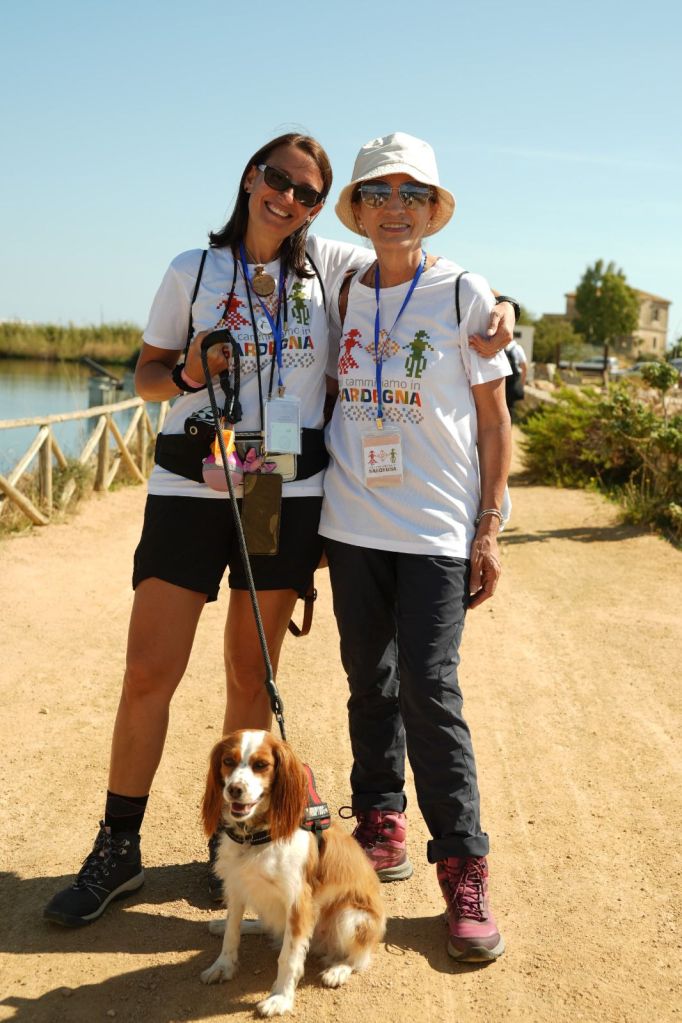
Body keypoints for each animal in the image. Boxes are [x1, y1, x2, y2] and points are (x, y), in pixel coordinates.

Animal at [200, 729, 386, 1017]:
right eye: (228, 761)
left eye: (261, 765)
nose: (234, 789)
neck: (257, 836)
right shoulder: (237, 885)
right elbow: (232, 933)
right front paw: (223, 966)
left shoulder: (299, 903)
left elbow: (288, 958)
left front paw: (280, 998)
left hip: (351, 916)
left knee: (359, 957)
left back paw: (338, 970)